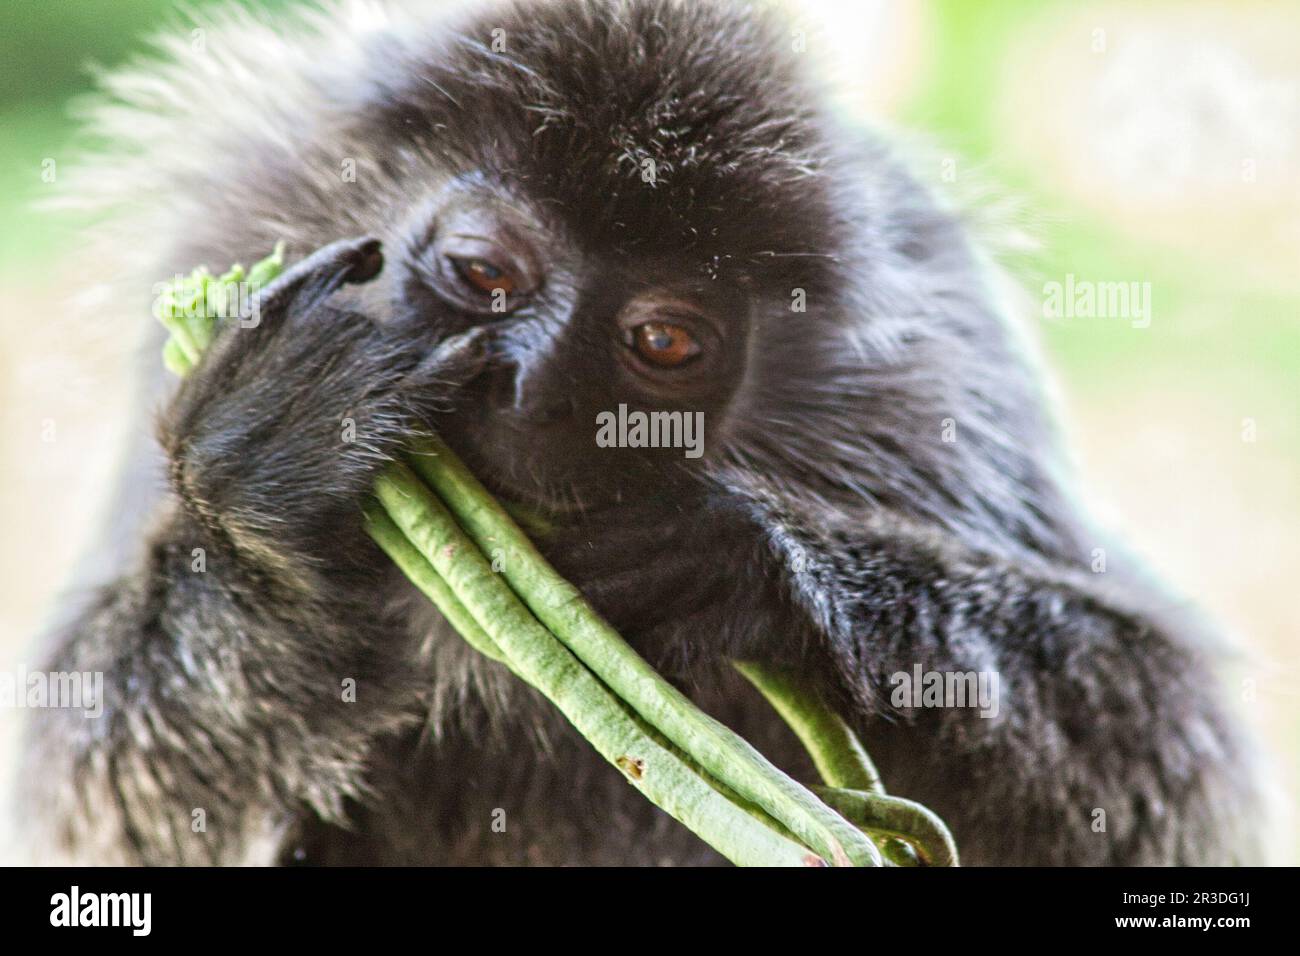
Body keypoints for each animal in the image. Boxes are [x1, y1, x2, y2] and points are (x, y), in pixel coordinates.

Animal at [15, 0, 1263, 868]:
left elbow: (1169, 743)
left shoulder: (950, 386)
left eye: (661, 341)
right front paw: (275, 496)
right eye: (483, 273)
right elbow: (91, 790)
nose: (539, 394)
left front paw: (738, 563)